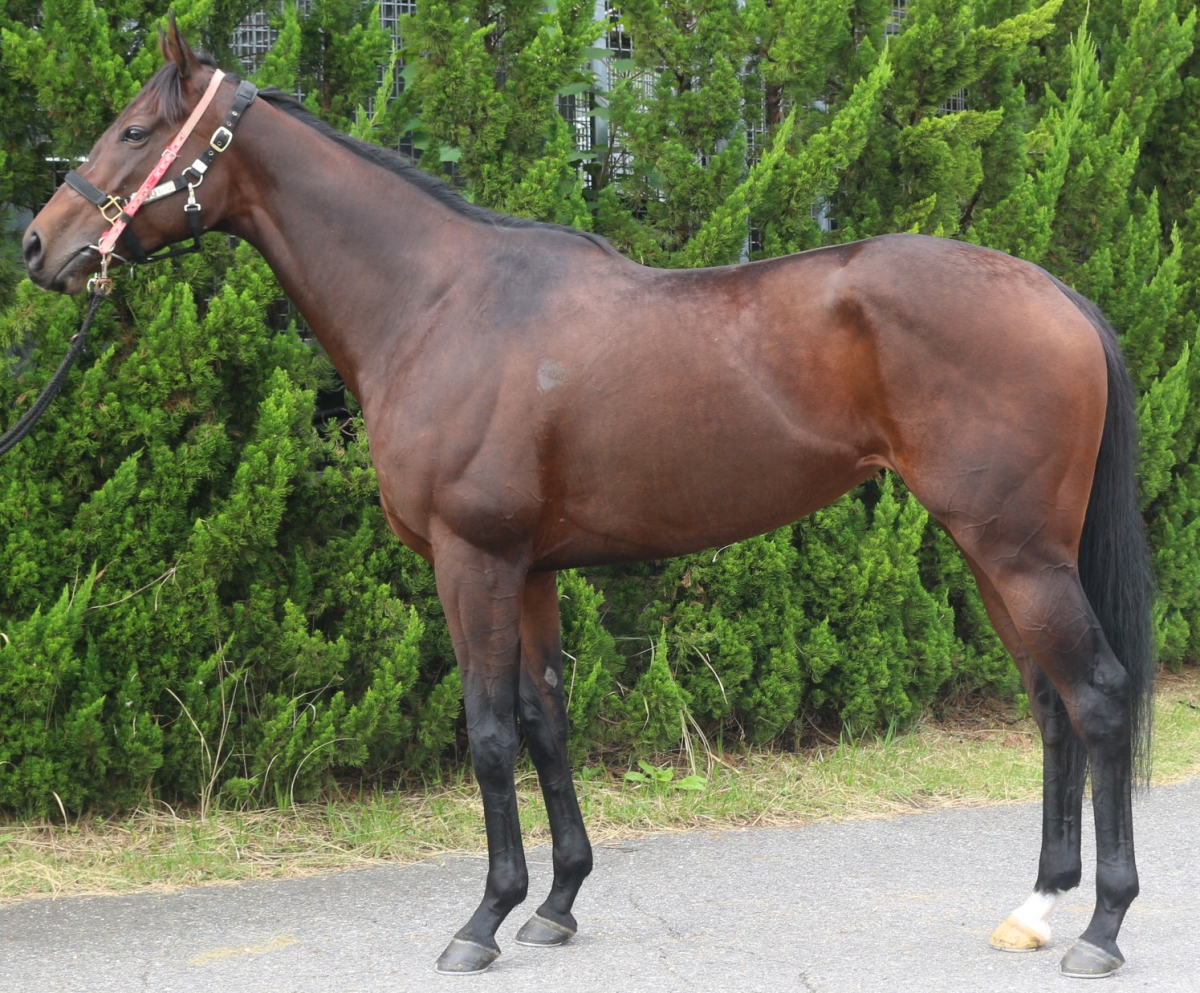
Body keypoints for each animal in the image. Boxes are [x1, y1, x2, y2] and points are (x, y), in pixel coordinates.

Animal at [21, 22, 1154, 980]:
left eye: (134, 130)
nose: (39, 245)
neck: (437, 303)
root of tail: (1058, 294)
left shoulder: (471, 559)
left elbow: (487, 730)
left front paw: (482, 920)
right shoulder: (529, 571)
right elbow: (544, 718)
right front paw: (557, 903)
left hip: (1015, 550)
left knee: (1097, 696)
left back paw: (1100, 928)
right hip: (995, 549)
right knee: (1049, 702)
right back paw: (1036, 908)